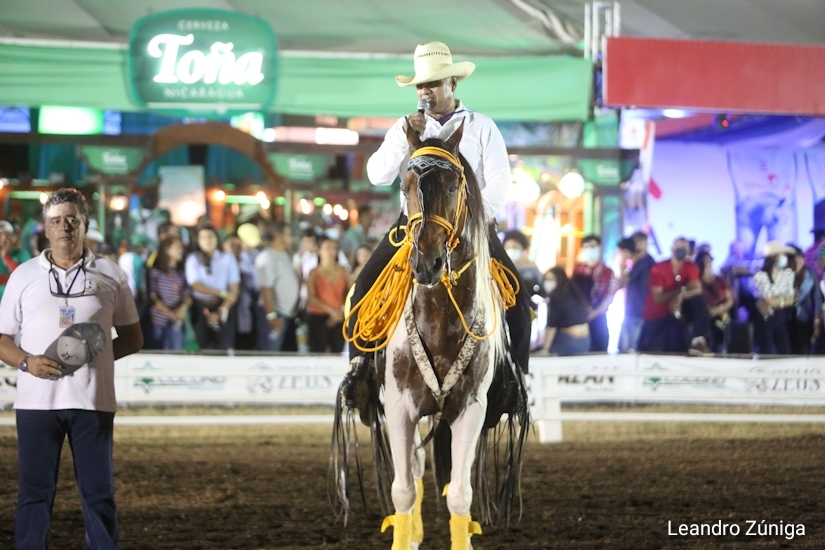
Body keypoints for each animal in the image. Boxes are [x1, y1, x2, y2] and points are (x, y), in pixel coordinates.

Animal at [331, 121, 529, 550]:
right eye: (405, 185)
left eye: (453, 185)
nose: (427, 262)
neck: (439, 319)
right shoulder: (399, 408)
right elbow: (403, 490)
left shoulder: (471, 409)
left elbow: (459, 494)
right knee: (415, 472)